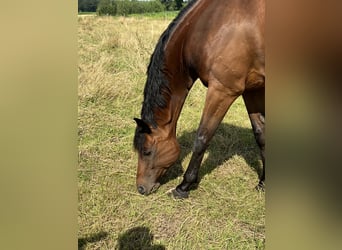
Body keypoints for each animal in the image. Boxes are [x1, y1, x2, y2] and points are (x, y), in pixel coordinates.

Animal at [133, 0, 264, 197]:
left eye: (147, 151)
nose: (141, 188)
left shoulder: (222, 90)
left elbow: (202, 137)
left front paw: (184, 186)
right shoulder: (251, 90)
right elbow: (261, 133)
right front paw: (263, 182)